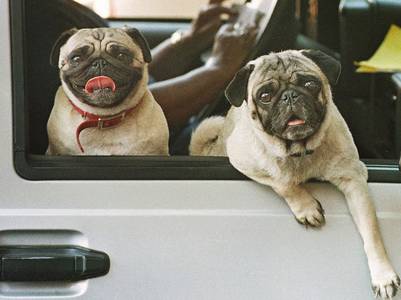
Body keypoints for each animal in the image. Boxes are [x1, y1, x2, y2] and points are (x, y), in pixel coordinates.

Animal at [190, 50, 400, 298]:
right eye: (265, 95)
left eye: (310, 84)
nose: (289, 96)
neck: (300, 150)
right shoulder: (243, 160)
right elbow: (282, 181)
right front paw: (306, 208)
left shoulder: (353, 178)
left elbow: (372, 232)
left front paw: (383, 275)